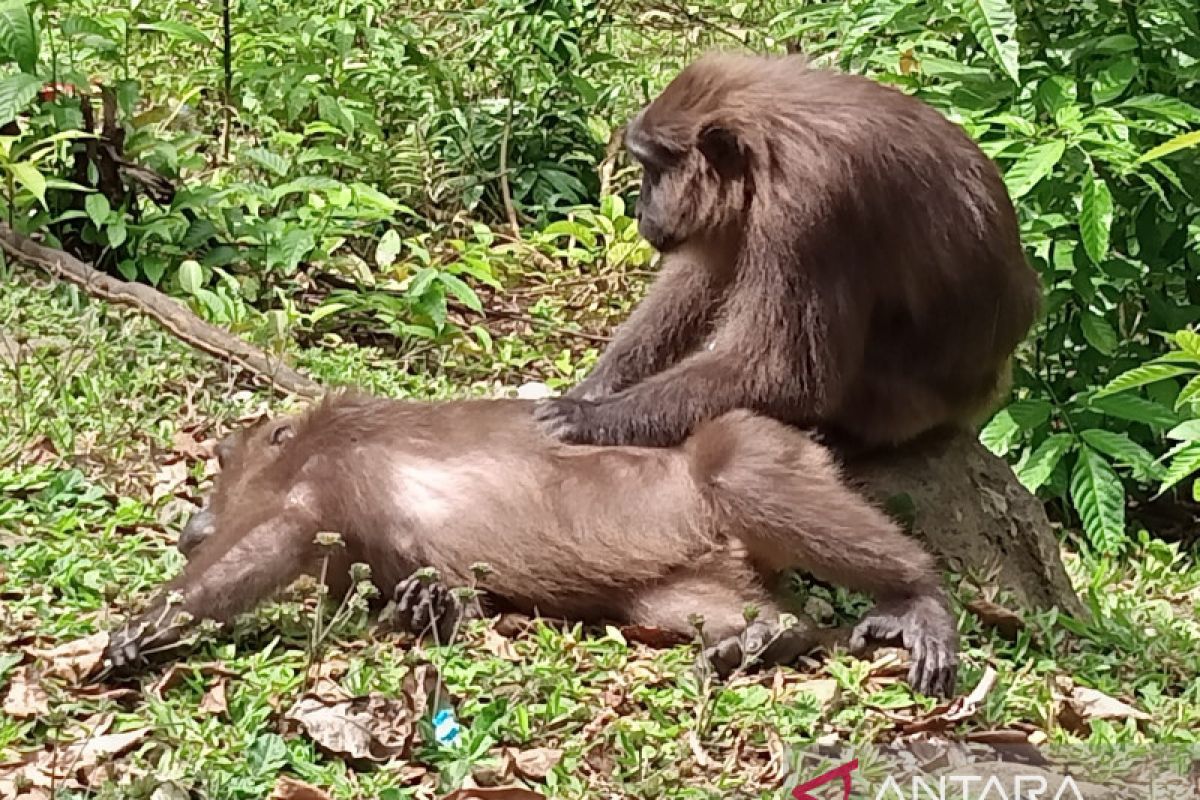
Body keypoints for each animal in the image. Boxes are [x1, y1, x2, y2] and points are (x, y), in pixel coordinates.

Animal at [108, 393, 960, 695]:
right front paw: (422, 608)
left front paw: (154, 621)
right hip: (699, 566)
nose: (191, 524)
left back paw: (918, 597)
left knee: (740, 468)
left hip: (763, 454)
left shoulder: (326, 468)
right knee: (683, 601)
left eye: (223, 461)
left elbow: (273, 539)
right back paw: (766, 636)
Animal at [535, 53, 1041, 453]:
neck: (767, 148)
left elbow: (789, 375)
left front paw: (592, 418)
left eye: (653, 170)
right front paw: (597, 387)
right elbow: (703, 275)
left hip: (912, 404)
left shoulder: (809, 210)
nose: (640, 210)